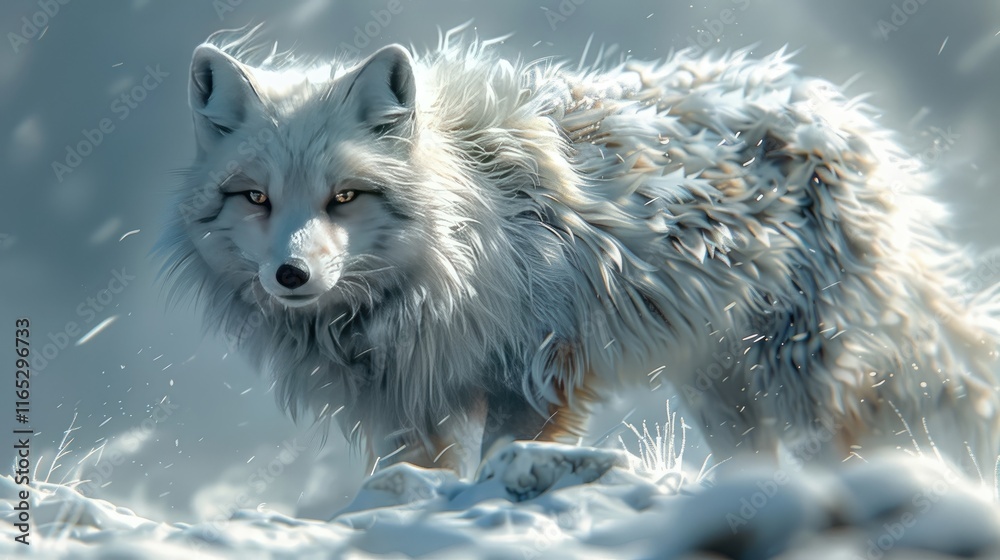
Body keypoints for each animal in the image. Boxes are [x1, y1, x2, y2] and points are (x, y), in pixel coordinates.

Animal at [159, 27, 1000, 479]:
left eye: (344, 197)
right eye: (255, 198)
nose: (291, 274)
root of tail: (838, 112)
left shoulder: (537, 376)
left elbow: (503, 458)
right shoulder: (405, 411)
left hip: (803, 378)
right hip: (721, 391)